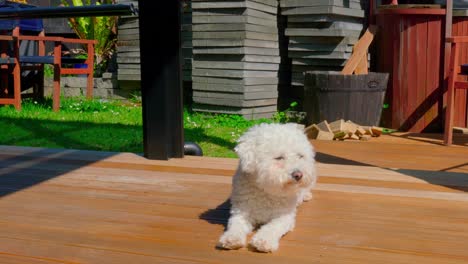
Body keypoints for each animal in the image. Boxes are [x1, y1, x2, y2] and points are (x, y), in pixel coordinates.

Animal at [217, 122, 318, 253]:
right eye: (279, 157)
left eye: (300, 156)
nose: (298, 174)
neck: (267, 191)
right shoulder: (241, 212)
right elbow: (236, 225)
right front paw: (231, 238)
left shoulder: (284, 217)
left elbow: (272, 227)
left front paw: (263, 240)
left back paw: (306, 195)